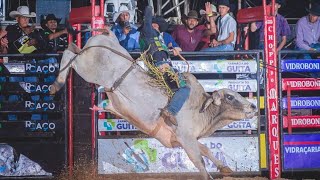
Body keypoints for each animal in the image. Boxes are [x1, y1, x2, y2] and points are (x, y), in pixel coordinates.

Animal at [49, 31, 258, 179]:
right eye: (230, 97)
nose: (253, 107)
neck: (201, 110)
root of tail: (107, 38)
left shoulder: (183, 139)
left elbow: (205, 150)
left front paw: (225, 168)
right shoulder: (186, 138)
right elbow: (199, 161)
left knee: (73, 49)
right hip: (87, 67)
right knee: (69, 54)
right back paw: (56, 84)